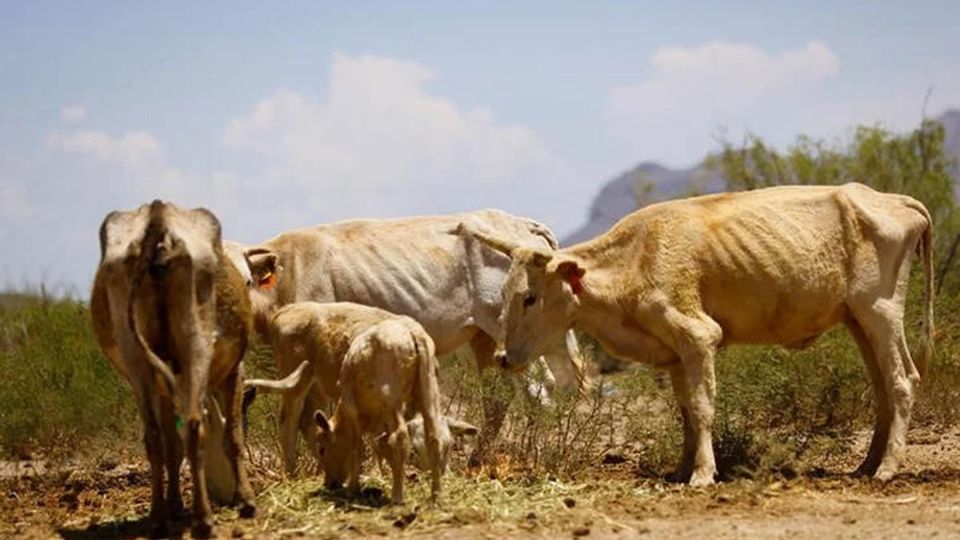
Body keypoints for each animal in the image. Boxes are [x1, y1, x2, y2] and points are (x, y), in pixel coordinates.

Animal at [225, 209, 592, 462]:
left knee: (538, 390)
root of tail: (520, 223)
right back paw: (477, 460)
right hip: (485, 339)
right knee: (498, 398)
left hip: (514, 335)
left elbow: (314, 417)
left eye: (246, 280)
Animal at [462, 184, 932, 488]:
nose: (502, 357)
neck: (633, 262)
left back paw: (888, 469)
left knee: (902, 381)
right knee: (882, 388)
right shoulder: (673, 352)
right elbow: (686, 410)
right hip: (857, 320)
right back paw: (866, 466)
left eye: (529, 297)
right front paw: (680, 469)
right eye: (503, 293)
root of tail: (893, 199)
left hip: (880, 310)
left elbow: (703, 406)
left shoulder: (700, 336)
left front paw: (703, 475)